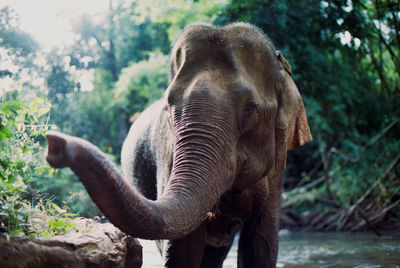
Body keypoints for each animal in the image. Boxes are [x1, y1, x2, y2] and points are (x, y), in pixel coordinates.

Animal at [44, 23, 312, 268]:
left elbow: (262, 243)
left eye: (250, 109)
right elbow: (182, 248)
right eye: (169, 104)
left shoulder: (275, 173)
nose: (54, 144)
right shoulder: (168, 155)